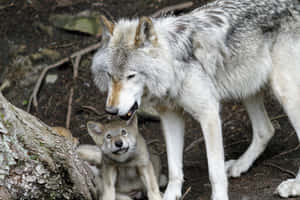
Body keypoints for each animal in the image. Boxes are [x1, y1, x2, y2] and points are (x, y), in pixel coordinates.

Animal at [90, 0, 300, 199]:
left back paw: (294, 185)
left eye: (131, 76)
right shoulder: (170, 116)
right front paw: (170, 195)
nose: (110, 110)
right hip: (247, 86)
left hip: (283, 91)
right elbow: (174, 168)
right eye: (109, 75)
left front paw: (219, 197)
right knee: (266, 130)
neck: (173, 64)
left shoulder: (209, 114)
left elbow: (214, 172)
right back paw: (241, 164)